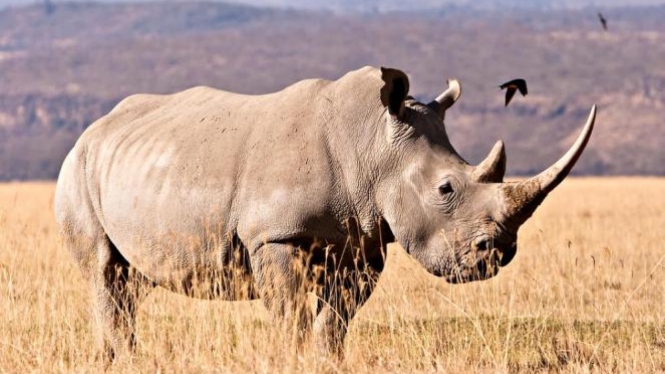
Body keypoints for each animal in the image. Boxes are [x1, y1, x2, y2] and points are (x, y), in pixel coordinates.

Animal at [55, 66, 596, 360]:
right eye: (445, 188)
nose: (497, 254)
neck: (373, 145)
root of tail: (94, 128)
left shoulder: (364, 242)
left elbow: (335, 320)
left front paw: (326, 360)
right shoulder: (275, 235)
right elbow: (291, 315)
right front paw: (290, 358)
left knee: (129, 283)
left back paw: (114, 357)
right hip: (77, 168)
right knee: (105, 271)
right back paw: (126, 358)